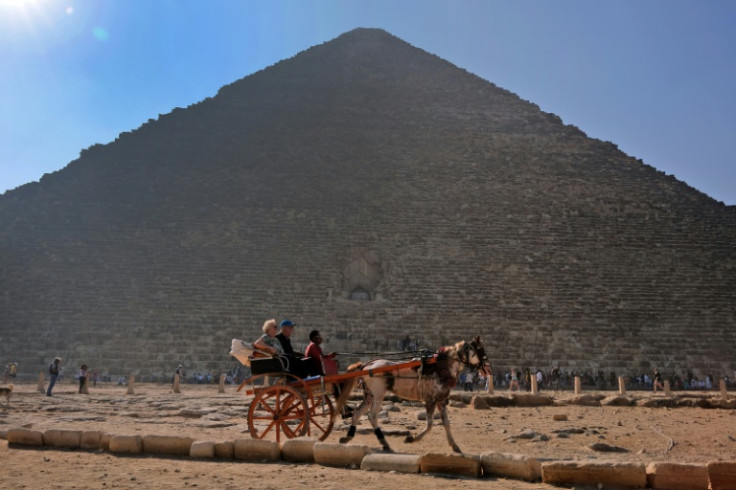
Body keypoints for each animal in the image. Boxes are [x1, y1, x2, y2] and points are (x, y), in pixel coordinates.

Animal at [338, 334, 488, 454]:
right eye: (480, 350)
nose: (487, 368)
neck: (440, 366)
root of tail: (366, 366)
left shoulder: (440, 400)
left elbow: (446, 423)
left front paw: (455, 446)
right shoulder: (430, 399)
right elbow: (430, 425)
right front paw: (411, 439)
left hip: (370, 395)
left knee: (358, 412)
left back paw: (347, 437)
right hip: (378, 394)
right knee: (372, 415)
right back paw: (385, 443)